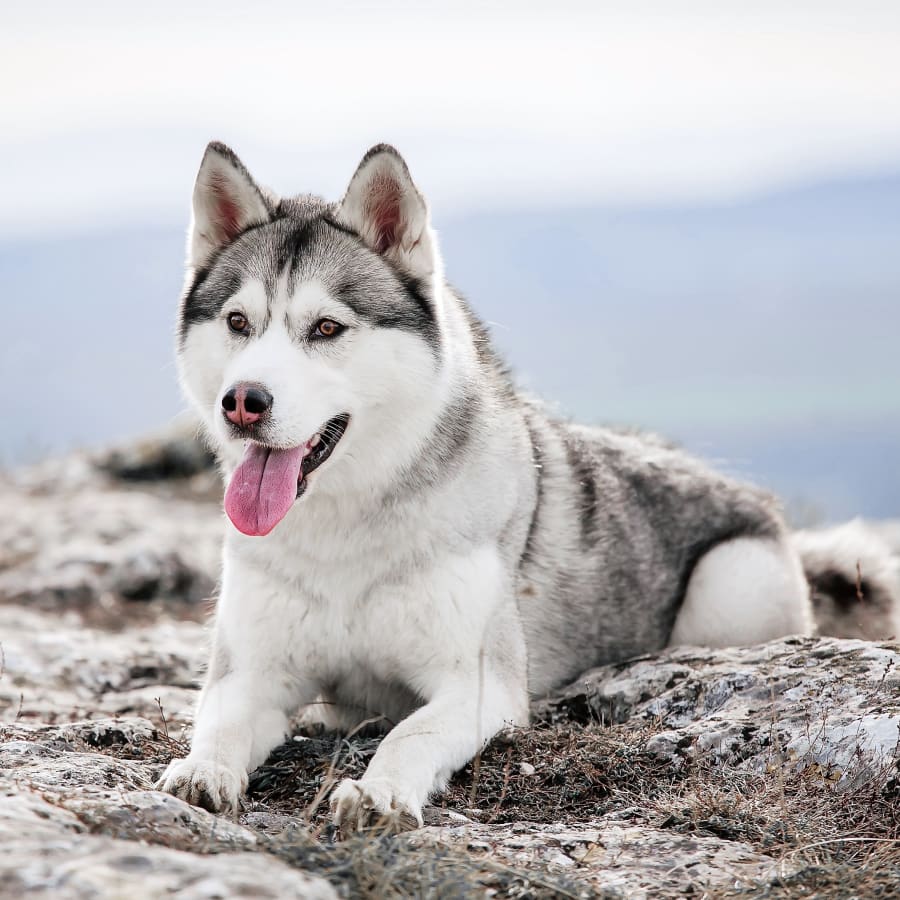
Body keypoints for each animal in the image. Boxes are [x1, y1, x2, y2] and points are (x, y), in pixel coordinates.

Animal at [156, 137, 816, 832]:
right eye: (238, 322)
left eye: (327, 328)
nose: (242, 401)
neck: (347, 529)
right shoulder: (248, 673)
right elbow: (220, 728)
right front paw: (202, 772)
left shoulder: (478, 685)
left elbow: (408, 735)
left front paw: (378, 792)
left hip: (730, 591)